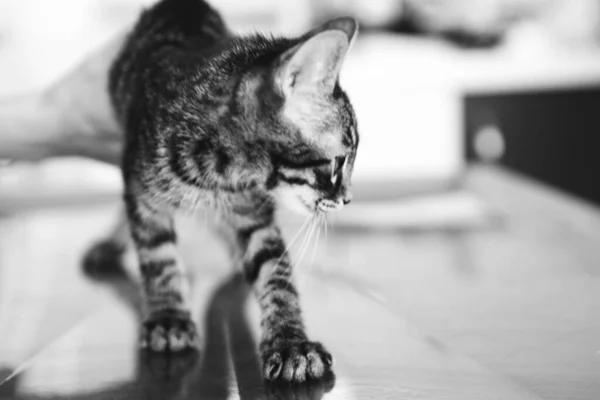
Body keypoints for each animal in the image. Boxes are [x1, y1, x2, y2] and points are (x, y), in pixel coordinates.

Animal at [91, 0, 358, 382]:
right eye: (338, 163)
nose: (347, 199)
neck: (220, 176)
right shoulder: (141, 190)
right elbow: (158, 257)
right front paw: (168, 318)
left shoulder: (254, 214)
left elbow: (276, 275)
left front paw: (291, 342)